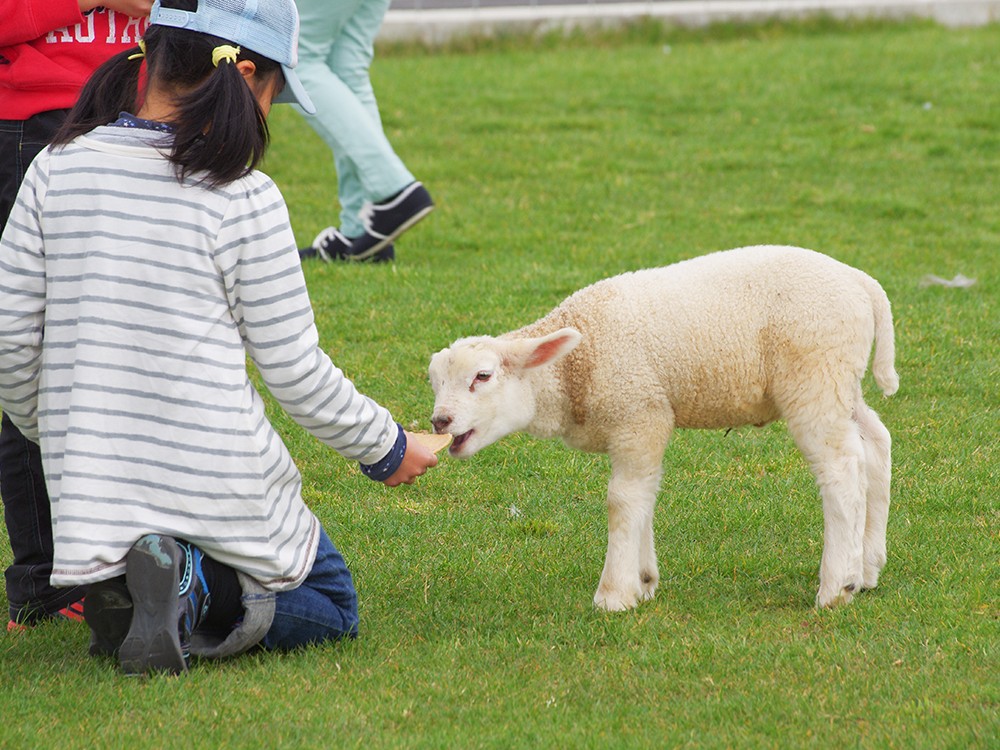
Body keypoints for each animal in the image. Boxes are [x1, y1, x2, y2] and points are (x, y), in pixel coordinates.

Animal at [428, 245, 900, 612]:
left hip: (814, 373)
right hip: (841, 379)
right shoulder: (644, 422)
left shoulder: (639, 413)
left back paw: (836, 586)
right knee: (874, 446)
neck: (572, 371)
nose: (439, 421)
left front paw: (614, 594)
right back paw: (867, 567)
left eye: (483, 376)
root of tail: (861, 282)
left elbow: (623, 499)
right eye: (435, 382)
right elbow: (645, 493)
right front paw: (643, 580)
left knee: (840, 469)